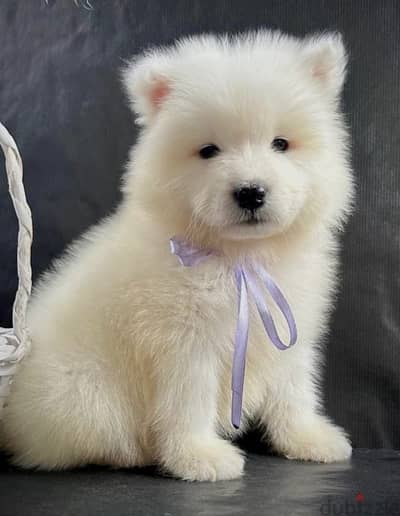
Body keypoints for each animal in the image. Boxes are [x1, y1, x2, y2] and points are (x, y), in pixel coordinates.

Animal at [2, 31, 354, 480]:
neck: (242, 257)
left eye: (281, 144)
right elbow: (189, 402)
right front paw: (199, 456)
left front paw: (309, 438)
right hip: (84, 392)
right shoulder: (186, 345)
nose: (250, 191)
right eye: (208, 151)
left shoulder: (291, 330)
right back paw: (136, 452)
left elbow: (294, 391)